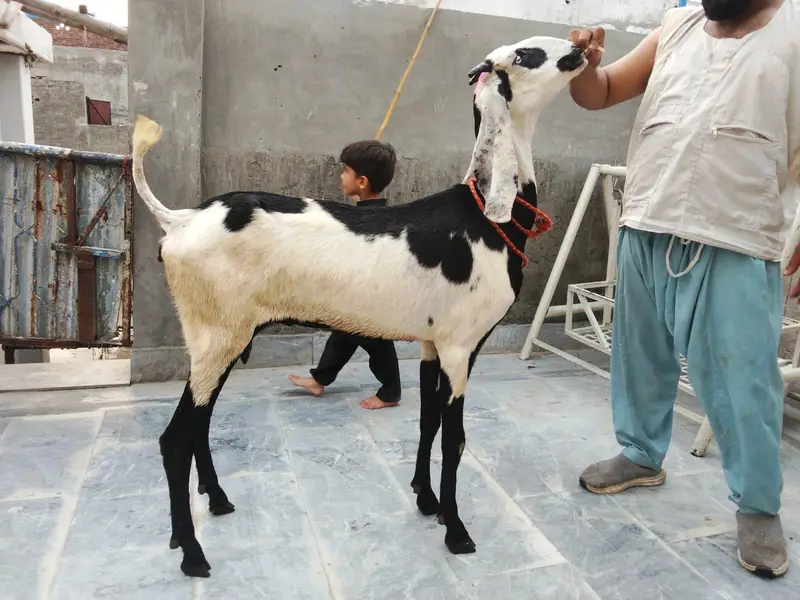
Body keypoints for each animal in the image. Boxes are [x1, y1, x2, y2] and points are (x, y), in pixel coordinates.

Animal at [131, 36, 588, 578]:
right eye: (526, 55)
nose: (580, 48)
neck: (486, 219)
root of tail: (181, 221)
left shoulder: (432, 343)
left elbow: (428, 421)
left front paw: (426, 500)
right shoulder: (460, 346)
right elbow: (454, 438)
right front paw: (456, 531)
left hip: (220, 338)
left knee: (200, 421)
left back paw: (217, 501)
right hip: (218, 336)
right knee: (175, 439)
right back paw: (192, 552)